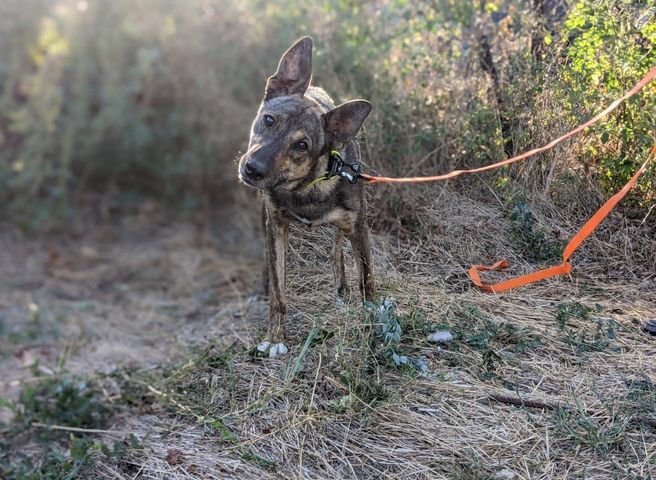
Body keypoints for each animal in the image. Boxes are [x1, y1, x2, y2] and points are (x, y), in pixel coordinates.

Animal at [238, 36, 376, 356]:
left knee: (337, 251)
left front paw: (375, 315)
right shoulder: (275, 225)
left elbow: (366, 277)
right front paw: (275, 337)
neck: (305, 188)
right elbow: (278, 291)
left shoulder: (358, 225)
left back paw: (341, 289)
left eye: (302, 145)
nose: (252, 169)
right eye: (269, 120)